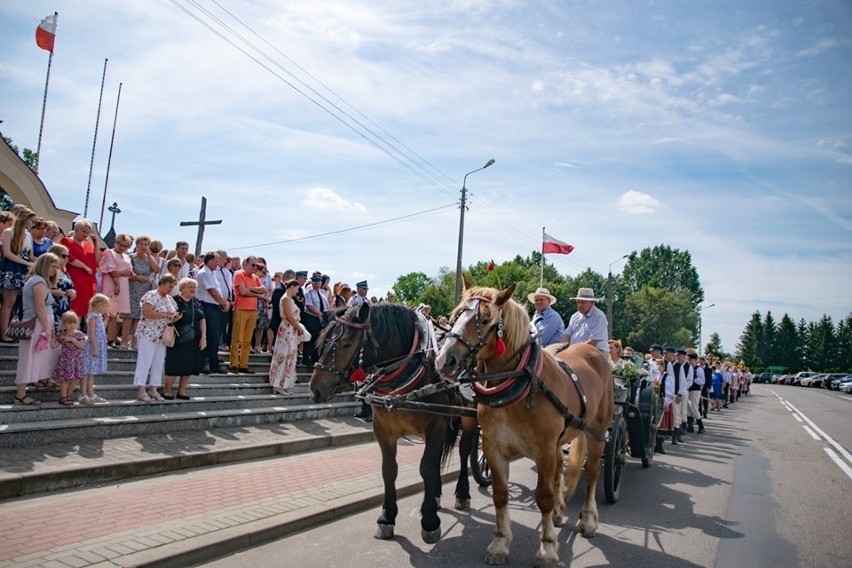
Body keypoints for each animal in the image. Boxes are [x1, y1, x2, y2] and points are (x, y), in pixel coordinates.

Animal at [308, 304, 480, 544]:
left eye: (347, 344)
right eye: (324, 341)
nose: (315, 389)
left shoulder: (436, 425)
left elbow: (426, 468)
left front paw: (429, 521)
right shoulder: (383, 430)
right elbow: (389, 470)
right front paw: (387, 518)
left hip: (470, 416)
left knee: (464, 451)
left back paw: (463, 493)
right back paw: (436, 497)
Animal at [440, 282, 612, 564]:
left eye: (485, 319)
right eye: (456, 316)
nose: (445, 360)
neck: (521, 379)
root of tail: (594, 353)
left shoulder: (544, 450)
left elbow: (543, 496)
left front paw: (547, 548)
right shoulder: (494, 446)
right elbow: (501, 494)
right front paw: (500, 544)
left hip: (597, 431)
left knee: (593, 472)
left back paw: (587, 521)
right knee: (560, 471)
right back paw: (559, 513)